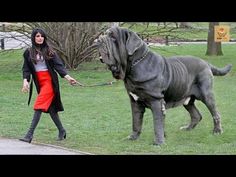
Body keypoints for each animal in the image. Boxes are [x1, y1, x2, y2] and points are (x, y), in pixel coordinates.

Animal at [95, 26, 231, 145]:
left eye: (113, 37)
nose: (97, 40)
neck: (134, 65)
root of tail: (206, 63)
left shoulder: (156, 101)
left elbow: (157, 123)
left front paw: (159, 142)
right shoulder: (135, 101)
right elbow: (136, 121)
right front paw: (133, 137)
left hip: (206, 94)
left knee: (215, 113)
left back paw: (217, 131)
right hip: (186, 99)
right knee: (196, 115)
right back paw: (187, 128)